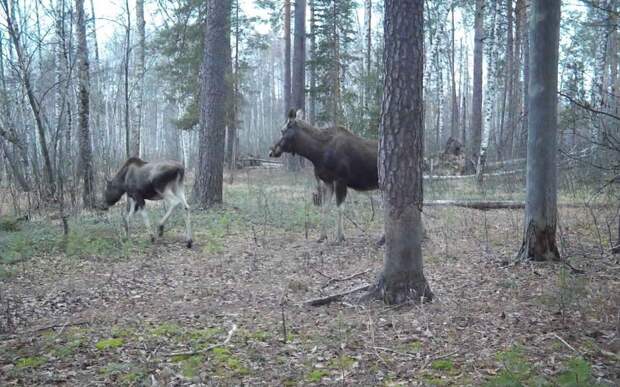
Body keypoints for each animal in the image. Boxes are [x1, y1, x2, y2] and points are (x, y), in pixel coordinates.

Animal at [268, 109, 378, 242]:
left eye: (283, 130)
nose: (271, 151)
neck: (316, 153)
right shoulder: (328, 181)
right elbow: (325, 208)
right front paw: (322, 236)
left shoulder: (340, 179)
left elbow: (339, 208)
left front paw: (340, 236)